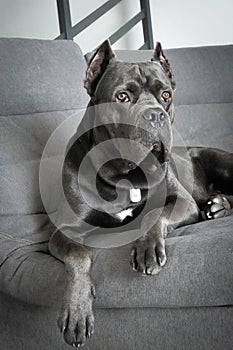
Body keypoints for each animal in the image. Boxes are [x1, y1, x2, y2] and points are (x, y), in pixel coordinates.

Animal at [48, 41, 232, 348]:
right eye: (122, 96)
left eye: (166, 95)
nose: (155, 114)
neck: (125, 175)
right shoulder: (64, 230)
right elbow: (78, 255)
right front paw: (77, 311)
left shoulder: (182, 202)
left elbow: (154, 215)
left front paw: (147, 250)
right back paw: (216, 206)